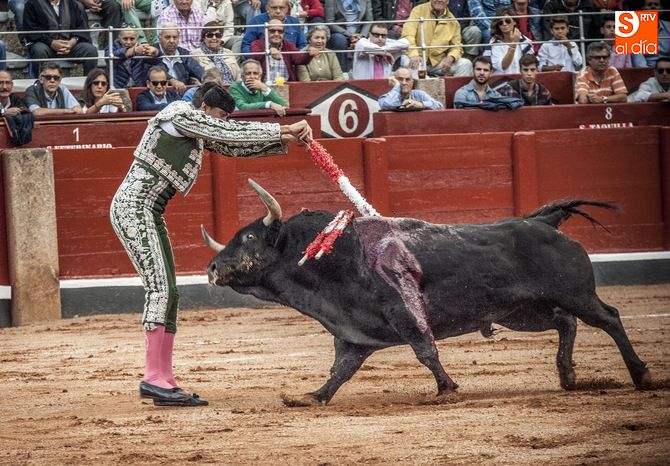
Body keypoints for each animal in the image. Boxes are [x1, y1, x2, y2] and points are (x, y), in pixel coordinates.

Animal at [202, 179, 651, 405]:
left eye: (248, 238)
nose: (211, 268)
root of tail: (543, 221)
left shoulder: (406, 313)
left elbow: (425, 350)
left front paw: (446, 389)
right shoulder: (353, 333)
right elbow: (341, 369)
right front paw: (314, 396)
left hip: (575, 294)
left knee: (607, 318)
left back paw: (641, 374)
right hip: (524, 313)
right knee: (566, 322)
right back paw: (567, 375)